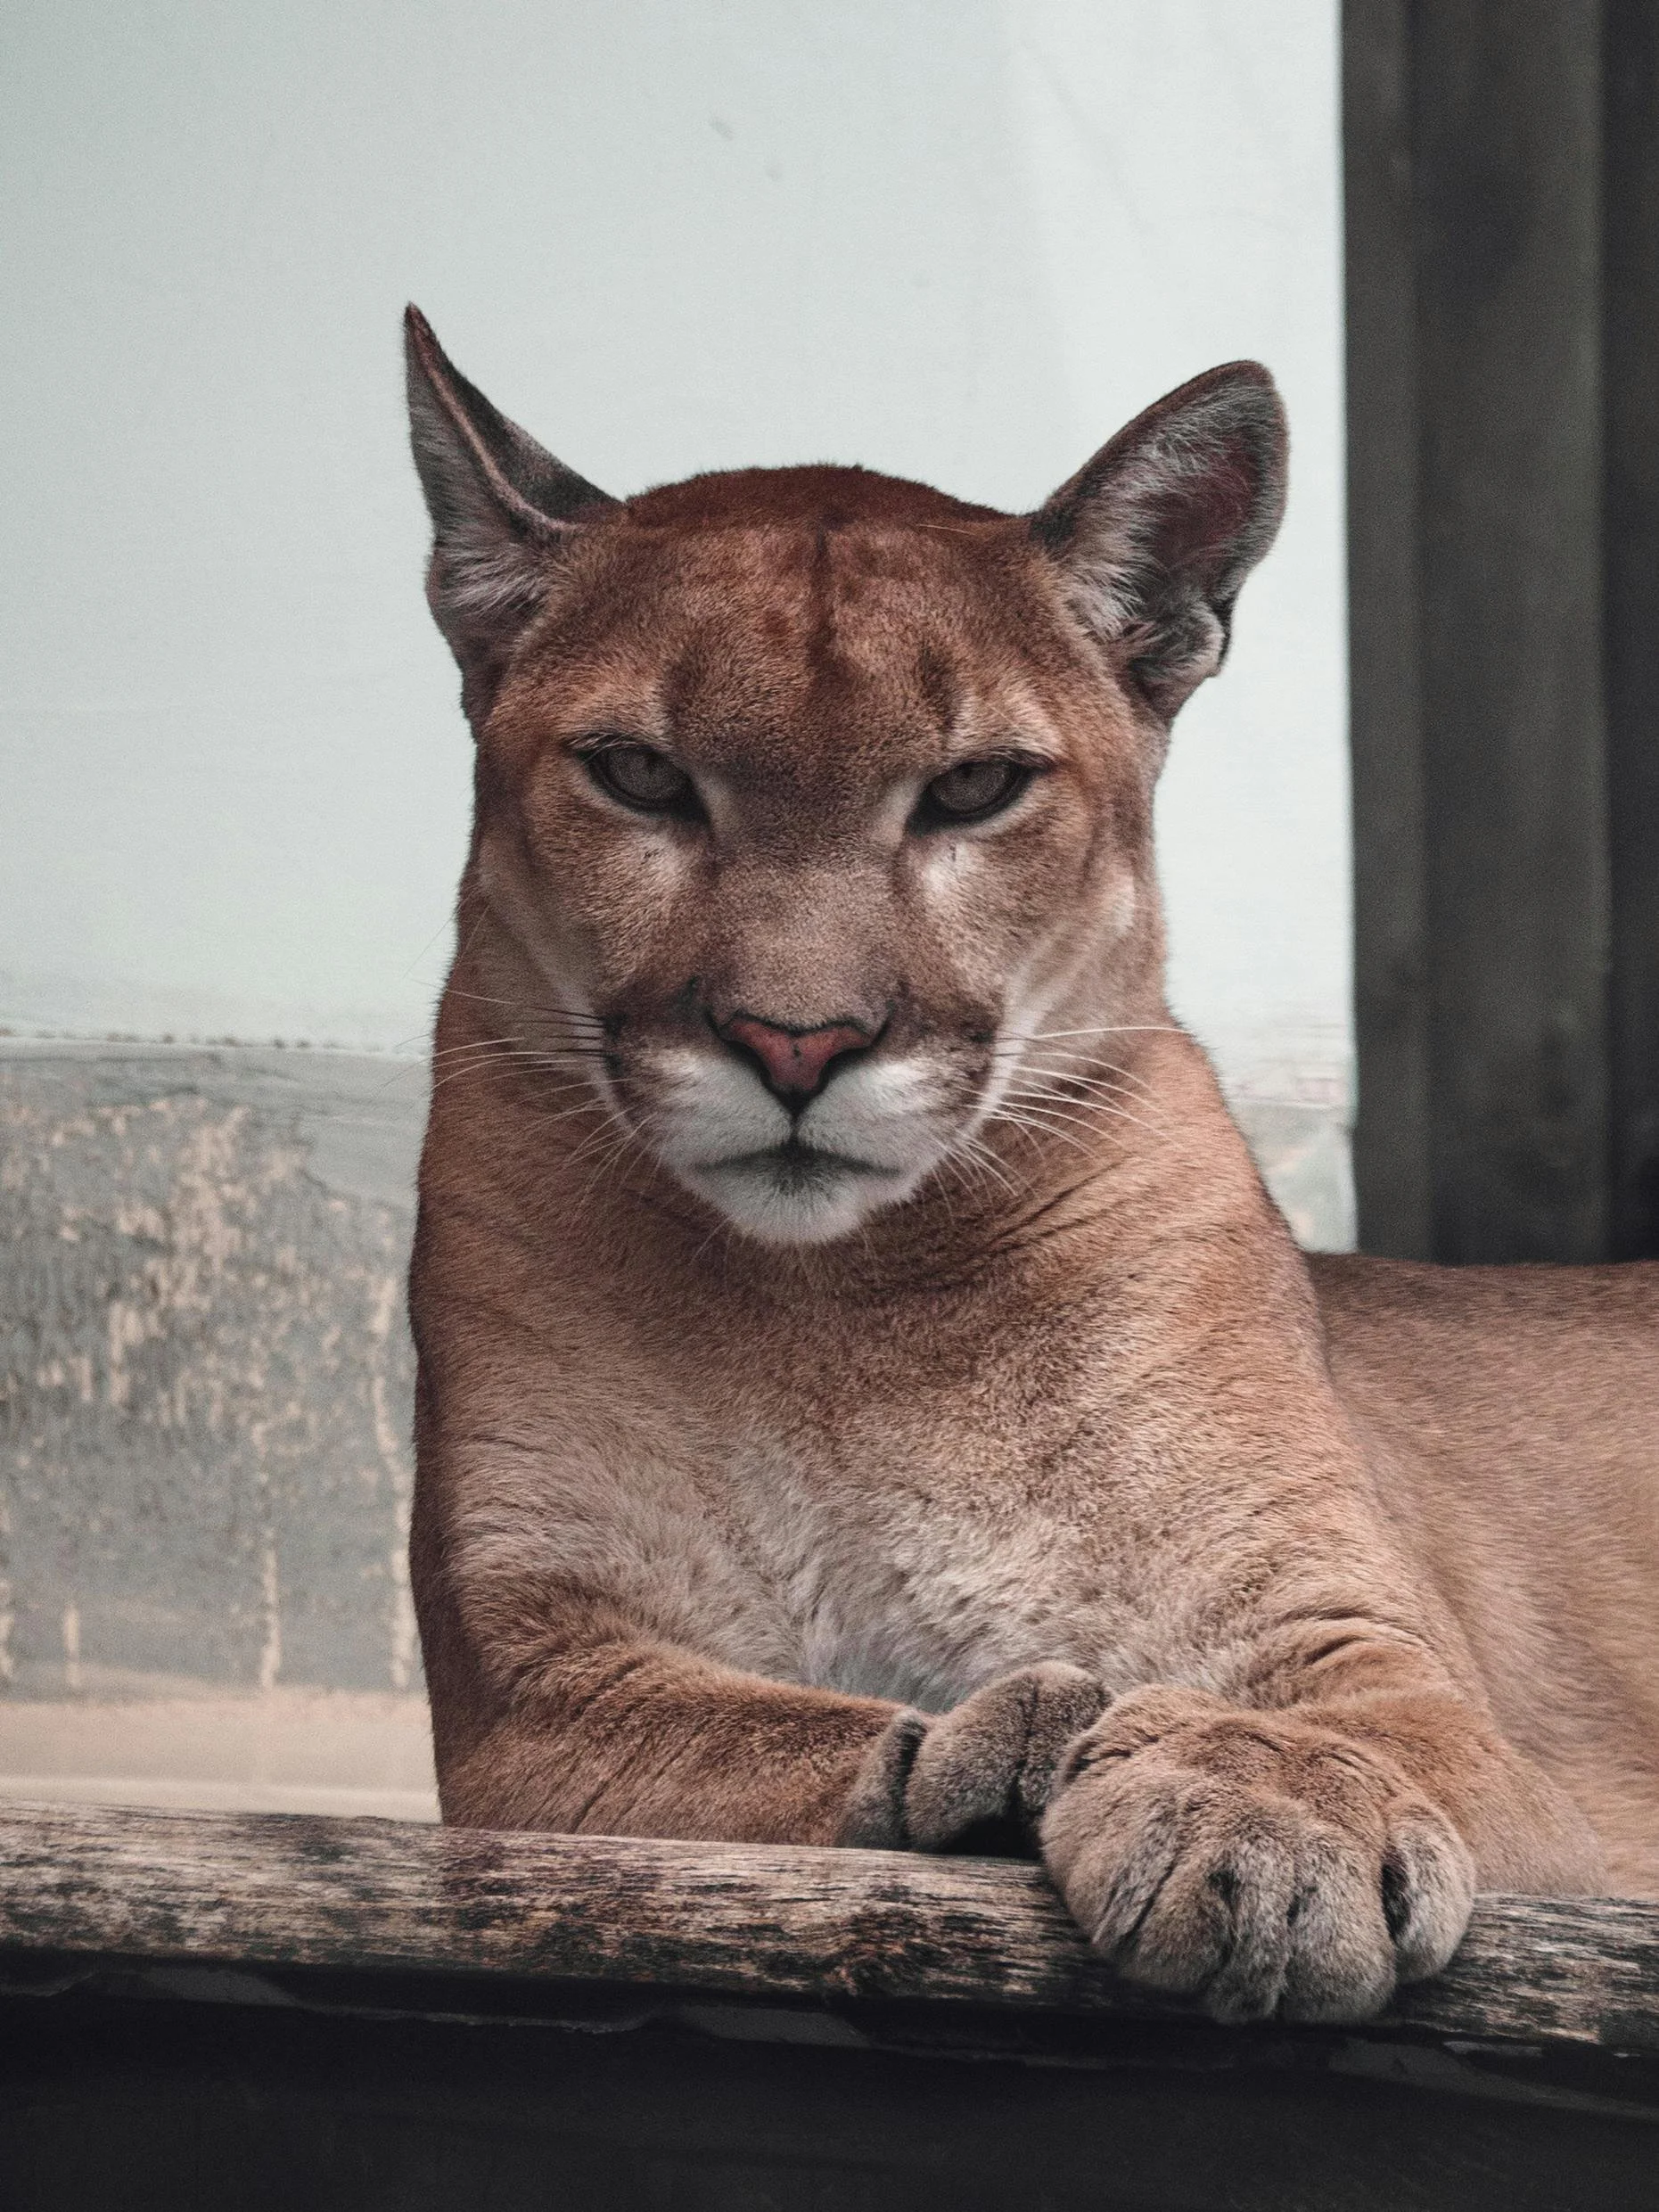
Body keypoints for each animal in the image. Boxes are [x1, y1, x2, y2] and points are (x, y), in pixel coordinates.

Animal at [402, 306, 1657, 2025]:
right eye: (641, 775)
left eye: (975, 787)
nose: (797, 1041)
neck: (836, 1313)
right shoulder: (532, 1675)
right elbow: (750, 1725)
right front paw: (994, 1750)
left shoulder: (1384, 1660)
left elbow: (1349, 1731)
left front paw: (1255, 1812)